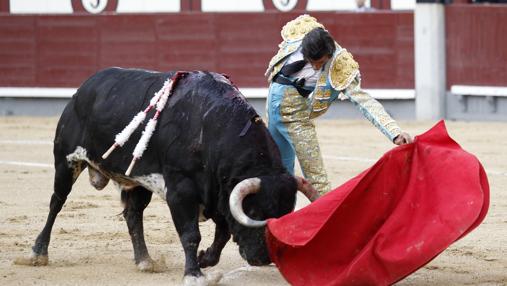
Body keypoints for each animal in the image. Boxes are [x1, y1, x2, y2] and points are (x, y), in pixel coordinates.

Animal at [18, 68, 318, 284]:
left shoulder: (218, 194)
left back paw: (145, 261)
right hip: (66, 161)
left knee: (133, 215)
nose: (262, 258)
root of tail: (84, 88)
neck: (212, 129)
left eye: (284, 214)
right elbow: (191, 233)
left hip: (137, 182)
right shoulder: (181, 191)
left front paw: (205, 260)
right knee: (56, 203)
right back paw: (38, 252)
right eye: (253, 211)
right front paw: (194, 274)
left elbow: (221, 234)